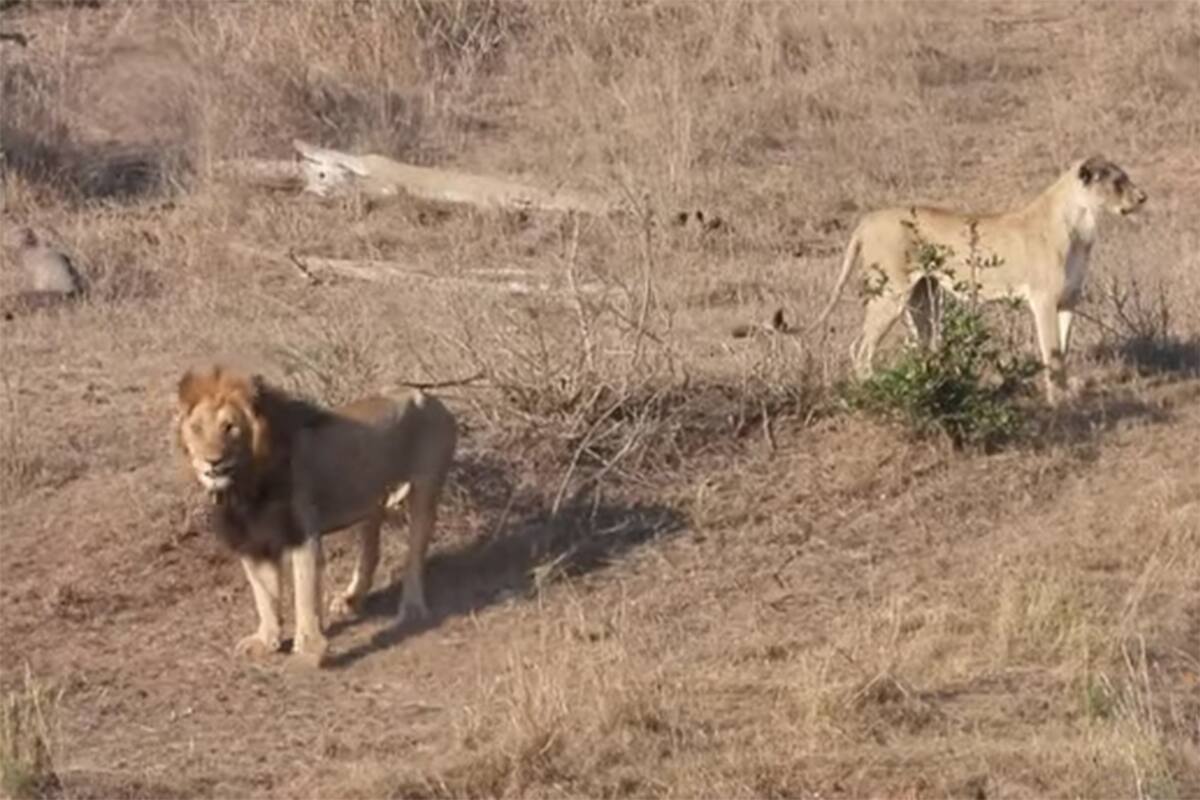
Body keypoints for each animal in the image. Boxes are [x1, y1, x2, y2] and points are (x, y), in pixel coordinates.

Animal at [174, 365, 458, 667]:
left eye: (230, 427)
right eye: (196, 428)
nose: (212, 462)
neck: (243, 487)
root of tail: (427, 395)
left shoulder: (302, 535)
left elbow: (304, 593)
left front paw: (309, 650)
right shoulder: (252, 542)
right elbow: (264, 595)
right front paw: (265, 640)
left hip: (425, 489)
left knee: (414, 555)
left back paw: (412, 609)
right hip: (370, 497)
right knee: (371, 551)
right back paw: (350, 599)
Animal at [799, 155, 1148, 403]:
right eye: (1118, 181)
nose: (1143, 197)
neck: (1082, 222)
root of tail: (867, 219)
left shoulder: (1068, 300)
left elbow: (1064, 347)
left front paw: (1067, 393)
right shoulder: (1043, 299)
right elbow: (1053, 352)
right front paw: (1058, 401)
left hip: (923, 298)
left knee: (919, 345)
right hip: (890, 295)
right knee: (860, 348)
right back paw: (877, 389)